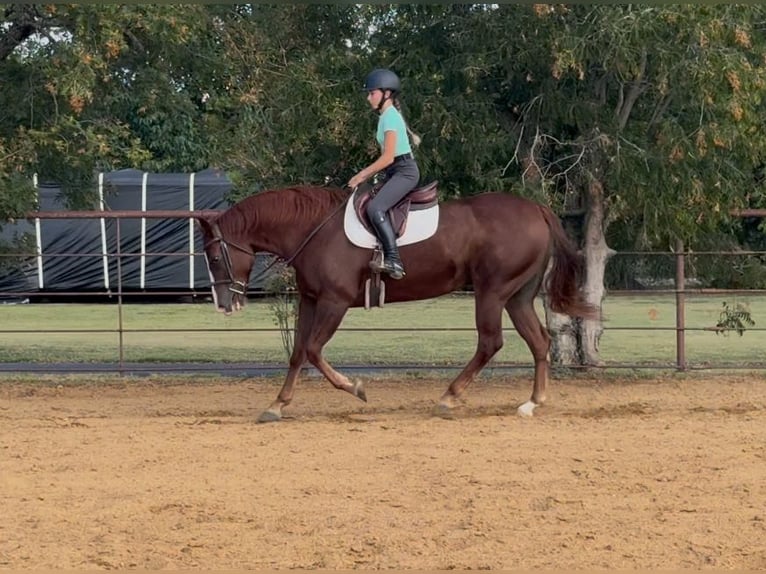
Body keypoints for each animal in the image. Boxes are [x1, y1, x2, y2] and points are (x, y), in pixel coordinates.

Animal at [197, 184, 597, 422]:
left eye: (215, 257)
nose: (223, 304)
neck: (313, 229)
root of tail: (535, 209)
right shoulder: (310, 301)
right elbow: (297, 354)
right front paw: (277, 404)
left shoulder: (333, 302)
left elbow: (312, 350)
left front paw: (355, 388)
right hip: (517, 296)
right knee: (539, 341)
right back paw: (533, 401)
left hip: (492, 292)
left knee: (490, 342)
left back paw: (450, 396)